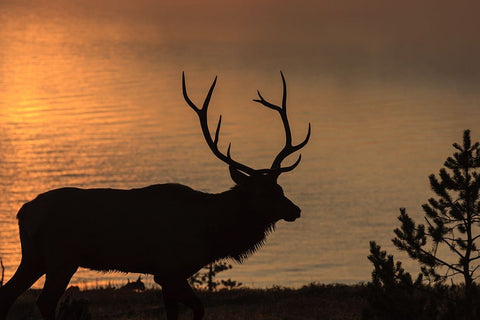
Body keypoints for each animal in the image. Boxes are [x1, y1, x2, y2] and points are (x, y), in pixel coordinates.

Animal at [0, 72, 312, 320]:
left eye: (280, 188)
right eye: (262, 192)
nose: (295, 210)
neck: (211, 231)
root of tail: (23, 212)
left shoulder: (166, 274)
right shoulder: (169, 269)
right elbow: (198, 309)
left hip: (34, 256)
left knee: (8, 292)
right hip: (62, 257)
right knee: (44, 301)